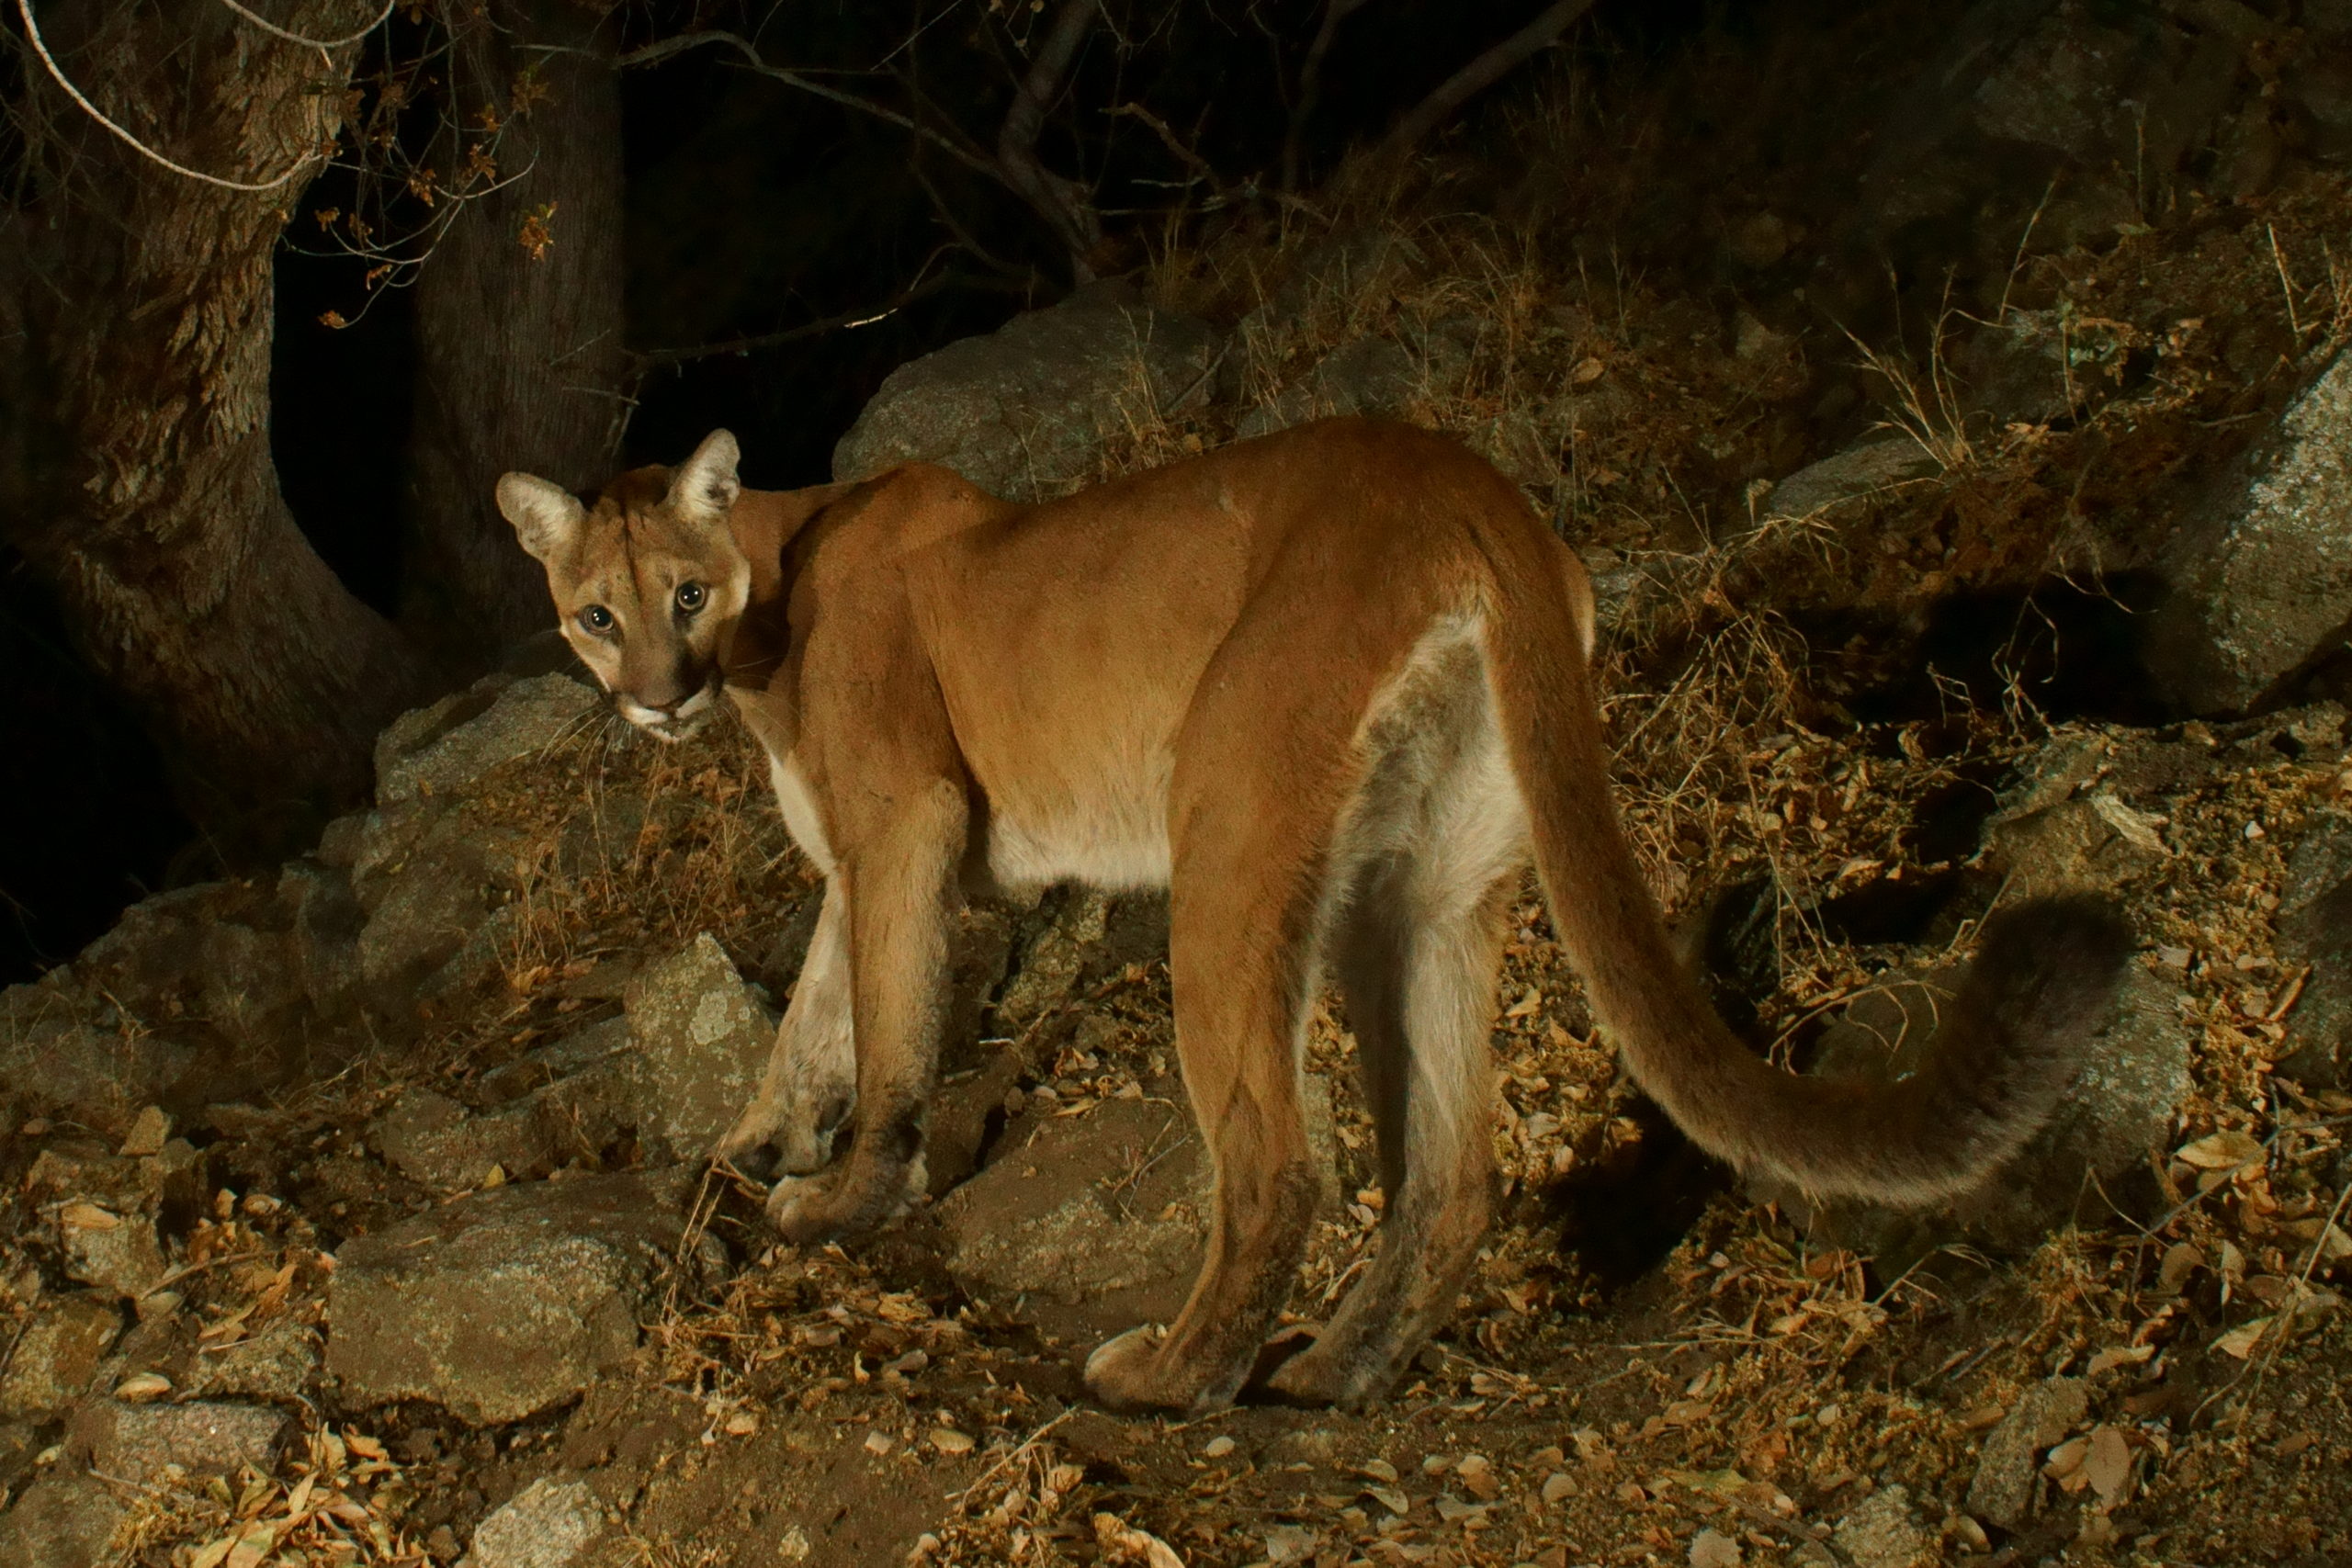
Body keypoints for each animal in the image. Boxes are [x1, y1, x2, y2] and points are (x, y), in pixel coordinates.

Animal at [496, 423, 2135, 1419]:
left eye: (685, 594)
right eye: (596, 612)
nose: (656, 694)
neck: (776, 590)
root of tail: (1469, 484)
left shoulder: (904, 817)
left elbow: (890, 1026)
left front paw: (842, 1197)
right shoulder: (855, 852)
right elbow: (816, 1009)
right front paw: (756, 1139)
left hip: (1229, 841)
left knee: (1281, 1163)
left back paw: (1172, 1372)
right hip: (1418, 894)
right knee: (1452, 1169)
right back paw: (1339, 1365)